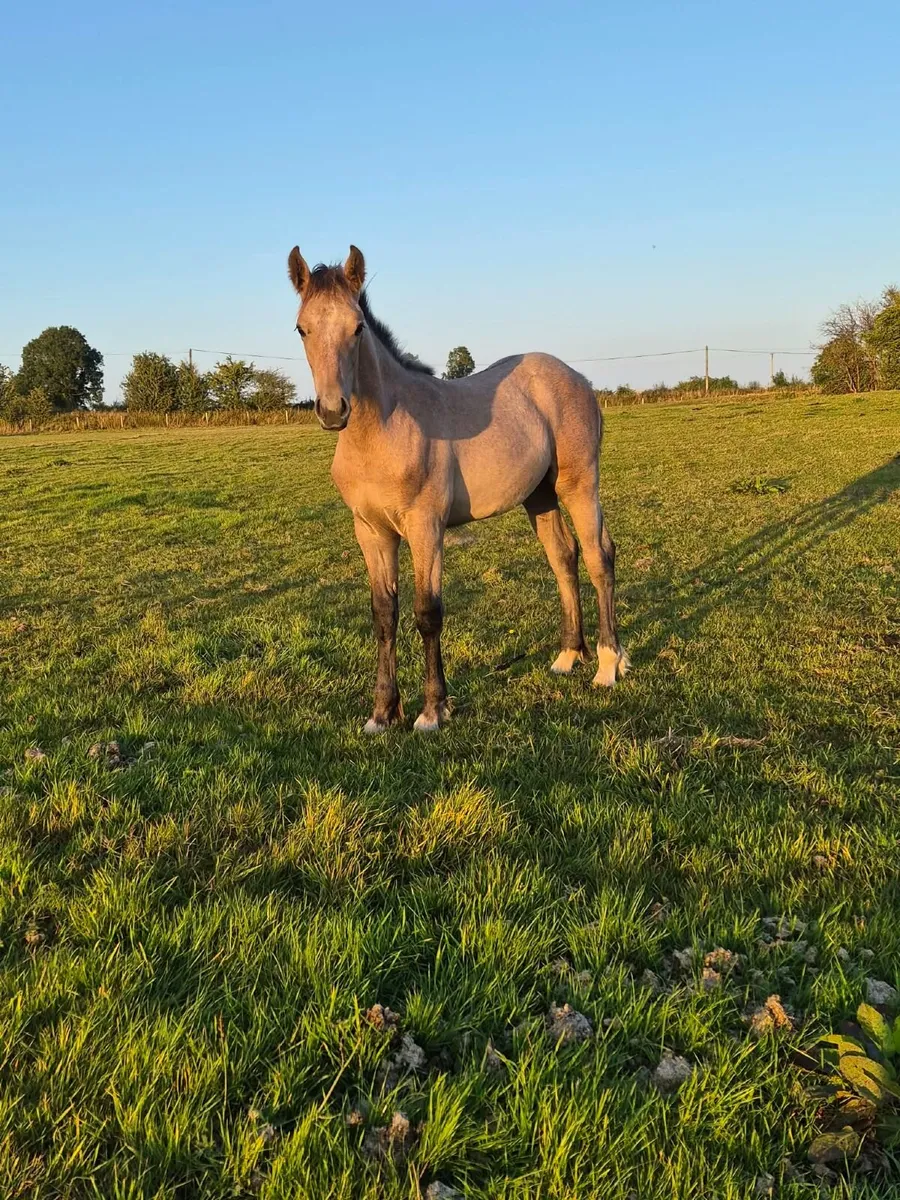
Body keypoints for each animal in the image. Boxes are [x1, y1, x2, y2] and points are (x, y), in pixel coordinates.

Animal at [287, 244, 628, 732]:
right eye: (302, 328)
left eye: (357, 327)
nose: (334, 411)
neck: (384, 432)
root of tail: (578, 378)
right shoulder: (371, 532)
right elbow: (384, 615)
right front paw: (382, 713)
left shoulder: (425, 527)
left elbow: (427, 613)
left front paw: (433, 710)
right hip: (539, 495)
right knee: (564, 556)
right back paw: (568, 656)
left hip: (580, 484)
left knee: (600, 556)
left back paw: (608, 665)